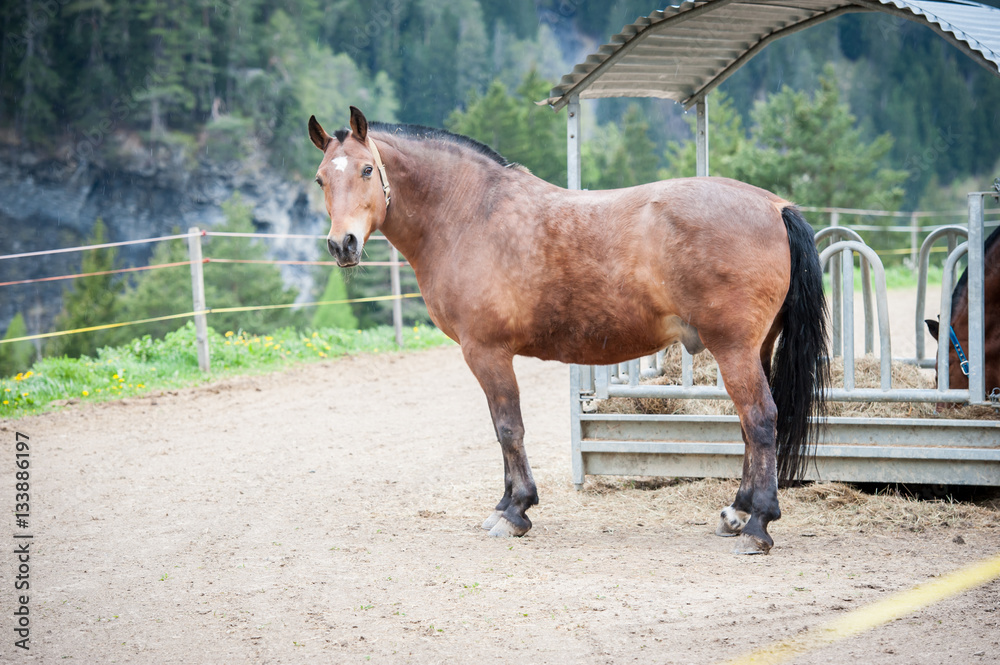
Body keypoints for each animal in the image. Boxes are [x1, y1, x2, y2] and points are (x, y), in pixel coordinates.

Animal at [306, 107, 828, 556]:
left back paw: (758, 525)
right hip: (756, 348)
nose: (342, 244)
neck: (469, 213)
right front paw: (507, 505)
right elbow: (503, 429)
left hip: (734, 348)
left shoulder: (487, 352)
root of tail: (776, 206)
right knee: (749, 425)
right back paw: (737, 512)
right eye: (321, 178)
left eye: (367, 170)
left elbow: (508, 428)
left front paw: (515, 511)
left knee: (760, 419)